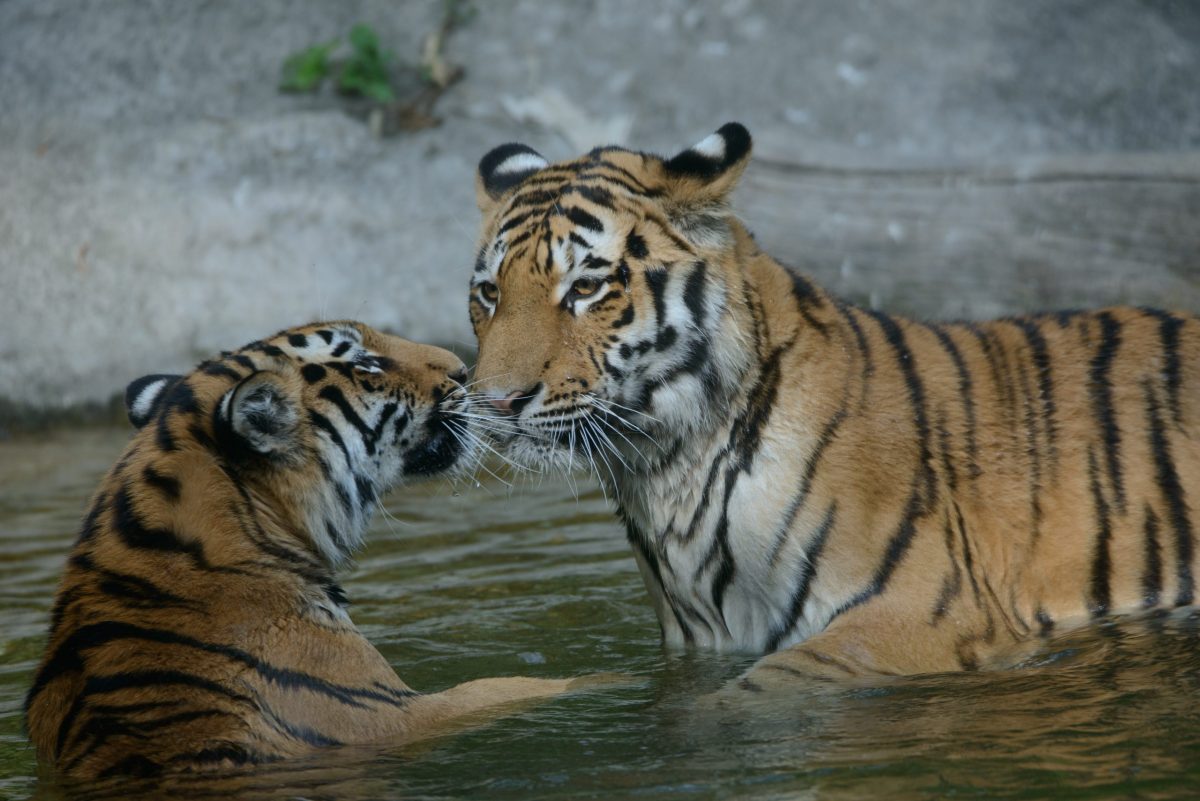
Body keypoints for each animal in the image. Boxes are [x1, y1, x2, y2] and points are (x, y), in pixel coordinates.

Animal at [465, 122, 1200, 687]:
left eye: (587, 287)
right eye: (489, 293)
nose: (498, 402)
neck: (665, 472)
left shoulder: (922, 612)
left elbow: (761, 688)